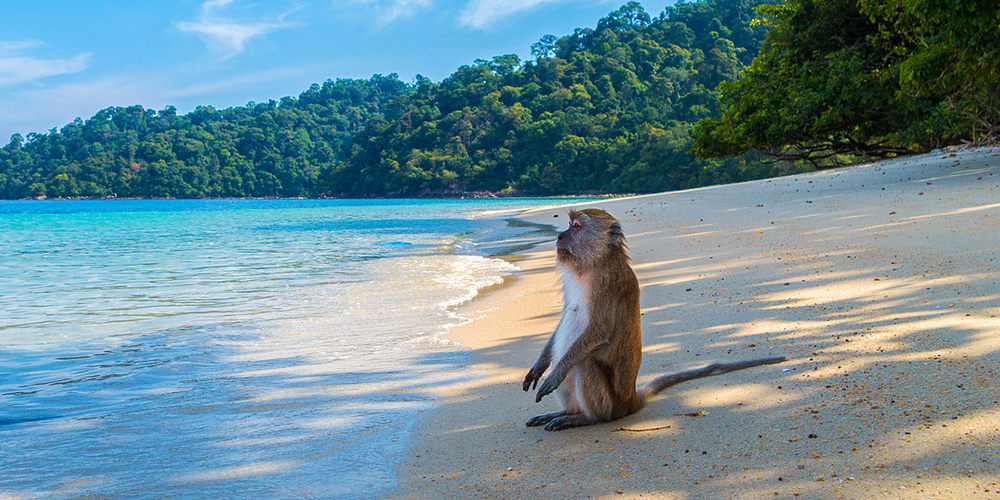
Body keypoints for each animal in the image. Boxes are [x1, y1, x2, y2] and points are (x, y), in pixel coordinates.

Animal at [522, 208, 785, 431]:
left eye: (576, 226)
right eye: (569, 225)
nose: (559, 236)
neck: (594, 263)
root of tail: (631, 400)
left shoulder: (606, 285)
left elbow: (599, 331)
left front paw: (556, 373)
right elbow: (565, 318)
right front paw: (539, 367)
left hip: (611, 403)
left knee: (585, 362)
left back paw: (586, 418)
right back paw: (565, 412)